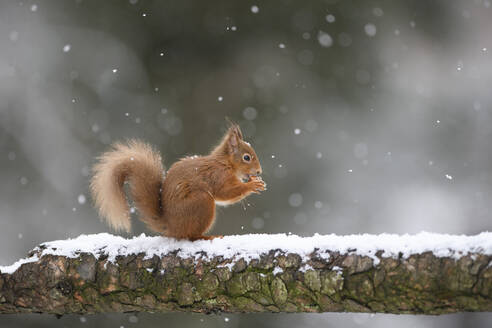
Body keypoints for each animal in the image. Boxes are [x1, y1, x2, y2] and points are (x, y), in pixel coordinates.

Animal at [88, 123, 266, 241]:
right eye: (247, 157)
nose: (259, 172)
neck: (225, 163)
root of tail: (171, 227)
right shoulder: (218, 176)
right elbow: (226, 193)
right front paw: (252, 185)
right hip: (202, 202)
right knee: (191, 236)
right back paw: (208, 236)